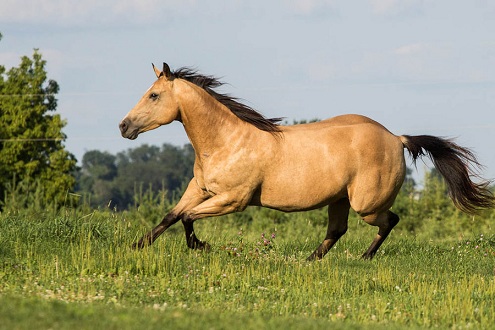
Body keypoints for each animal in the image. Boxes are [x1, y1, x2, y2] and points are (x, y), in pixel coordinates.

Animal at [118, 62, 494, 260]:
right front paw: (135, 246)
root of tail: (396, 138)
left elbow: (187, 218)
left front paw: (201, 246)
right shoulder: (200, 188)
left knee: (390, 221)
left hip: (366, 204)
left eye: (154, 95)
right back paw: (311, 259)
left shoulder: (232, 200)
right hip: (340, 200)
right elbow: (171, 215)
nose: (124, 126)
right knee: (338, 229)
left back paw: (364, 257)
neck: (227, 142)